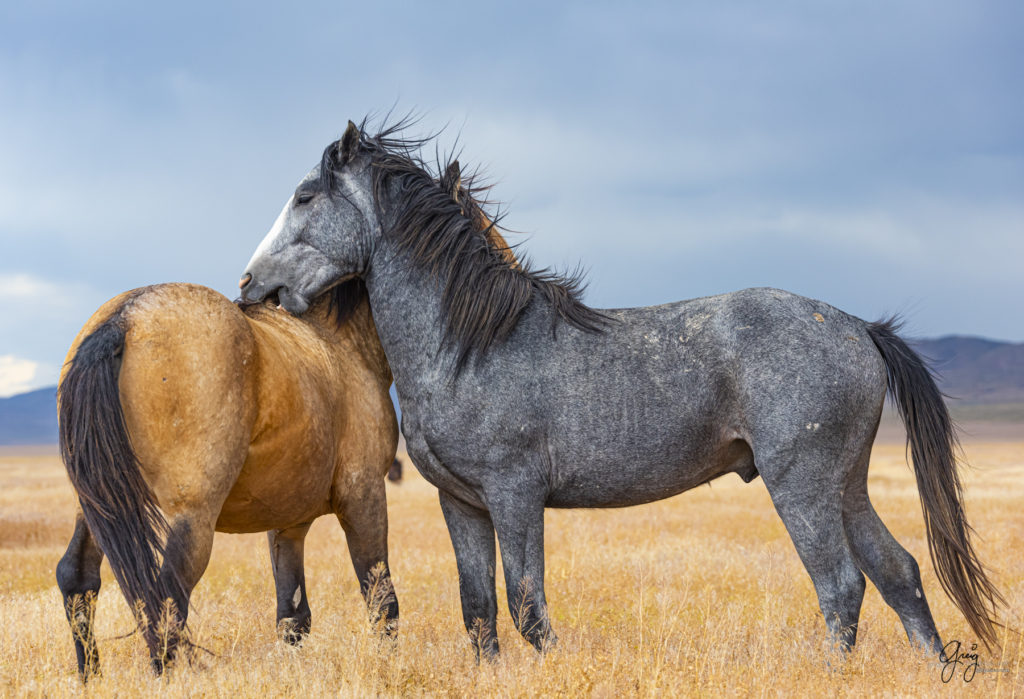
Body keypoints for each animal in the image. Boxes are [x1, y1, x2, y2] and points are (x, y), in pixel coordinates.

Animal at [56, 159, 512, 679]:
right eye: (481, 235)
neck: (338, 342)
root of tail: (126, 318)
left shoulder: (288, 525)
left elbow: (292, 617)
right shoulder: (364, 496)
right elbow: (382, 600)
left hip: (99, 506)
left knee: (78, 579)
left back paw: (89, 676)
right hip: (189, 520)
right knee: (165, 602)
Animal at [237, 120, 999, 663]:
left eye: (305, 195)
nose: (250, 285)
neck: (469, 343)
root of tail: (857, 327)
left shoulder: (515, 495)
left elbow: (527, 606)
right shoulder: (462, 502)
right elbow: (479, 613)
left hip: (802, 485)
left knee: (841, 587)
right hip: (846, 485)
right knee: (899, 573)